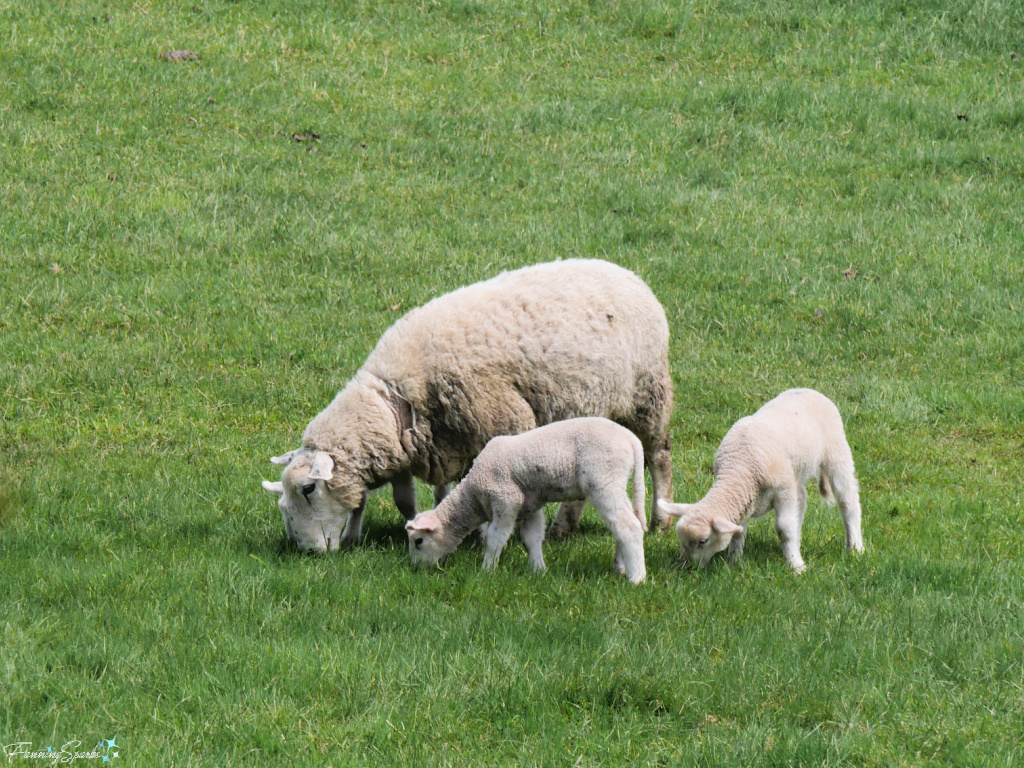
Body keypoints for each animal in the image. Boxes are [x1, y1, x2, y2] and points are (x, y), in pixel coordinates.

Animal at [262, 259, 674, 552]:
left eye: (308, 490)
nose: (306, 551)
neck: (396, 399)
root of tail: (630, 275)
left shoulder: (500, 423)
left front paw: (481, 534)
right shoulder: (422, 445)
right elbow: (404, 498)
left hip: (648, 394)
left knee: (660, 457)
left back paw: (661, 520)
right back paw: (563, 527)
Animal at [405, 418, 648, 583]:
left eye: (418, 541)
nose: (415, 569)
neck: (473, 494)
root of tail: (632, 439)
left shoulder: (505, 500)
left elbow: (495, 538)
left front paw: (487, 570)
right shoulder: (530, 506)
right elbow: (532, 538)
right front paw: (538, 570)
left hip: (604, 480)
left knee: (629, 527)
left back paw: (636, 578)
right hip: (615, 482)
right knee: (622, 526)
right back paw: (620, 568)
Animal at [657, 388, 864, 572]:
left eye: (703, 541)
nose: (686, 566)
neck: (740, 467)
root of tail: (809, 390)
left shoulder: (782, 491)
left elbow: (784, 529)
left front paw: (796, 567)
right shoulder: (745, 500)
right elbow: (738, 533)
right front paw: (733, 563)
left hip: (836, 452)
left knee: (848, 500)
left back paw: (855, 548)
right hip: (794, 472)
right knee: (802, 499)